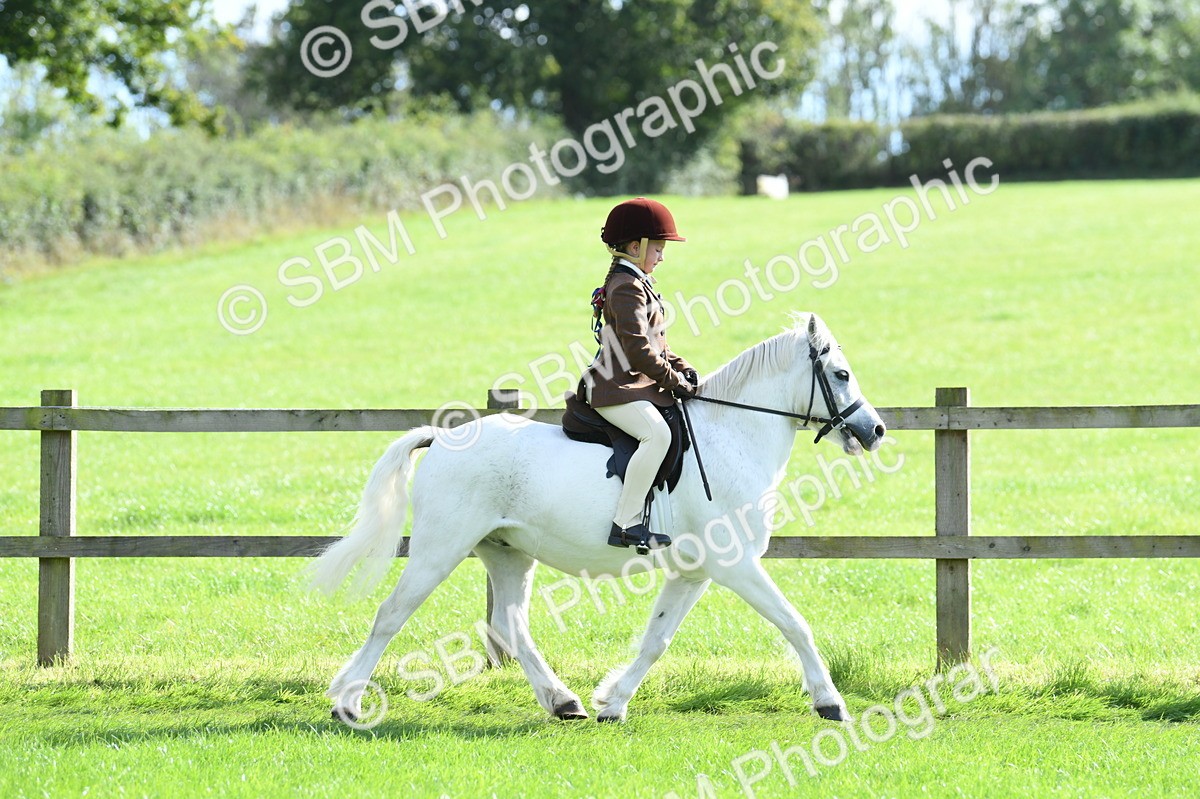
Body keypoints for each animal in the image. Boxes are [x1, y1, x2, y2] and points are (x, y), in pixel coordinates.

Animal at [311, 312, 887, 723]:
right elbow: (795, 623)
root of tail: (443, 436)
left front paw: (613, 702)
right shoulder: (736, 565)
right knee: (392, 613)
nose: (875, 430)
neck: (732, 437)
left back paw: (564, 703)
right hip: (440, 547)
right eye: (841, 374)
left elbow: (657, 639)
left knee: (509, 623)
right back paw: (348, 704)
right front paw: (830, 703)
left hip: (507, 553)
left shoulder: (694, 572)